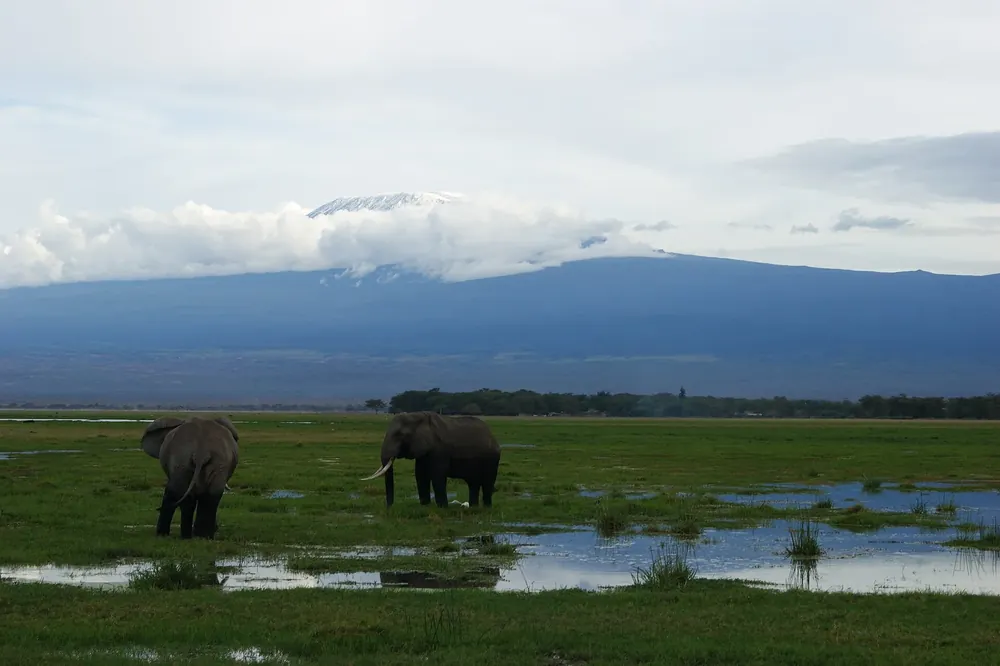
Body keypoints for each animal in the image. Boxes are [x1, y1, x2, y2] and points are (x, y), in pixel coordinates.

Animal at [361, 411, 501, 509]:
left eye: (400, 435)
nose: (388, 507)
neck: (418, 416)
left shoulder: (440, 450)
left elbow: (437, 476)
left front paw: (442, 508)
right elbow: (420, 475)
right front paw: (425, 506)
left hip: (492, 459)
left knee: (487, 482)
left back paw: (486, 508)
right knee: (473, 483)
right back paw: (473, 507)